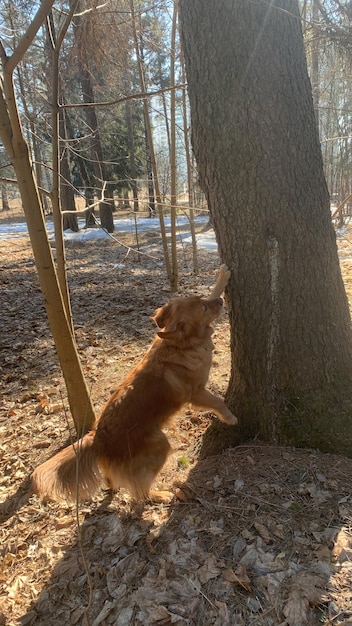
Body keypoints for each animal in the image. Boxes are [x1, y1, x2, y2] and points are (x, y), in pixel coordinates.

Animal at [32, 264, 236, 502]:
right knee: (139, 490)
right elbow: (218, 402)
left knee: (112, 479)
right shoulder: (196, 392)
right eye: (203, 308)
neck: (181, 345)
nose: (221, 302)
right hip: (160, 445)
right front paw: (230, 417)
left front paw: (222, 277)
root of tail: (98, 437)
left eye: (202, 299)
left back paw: (114, 486)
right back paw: (160, 495)